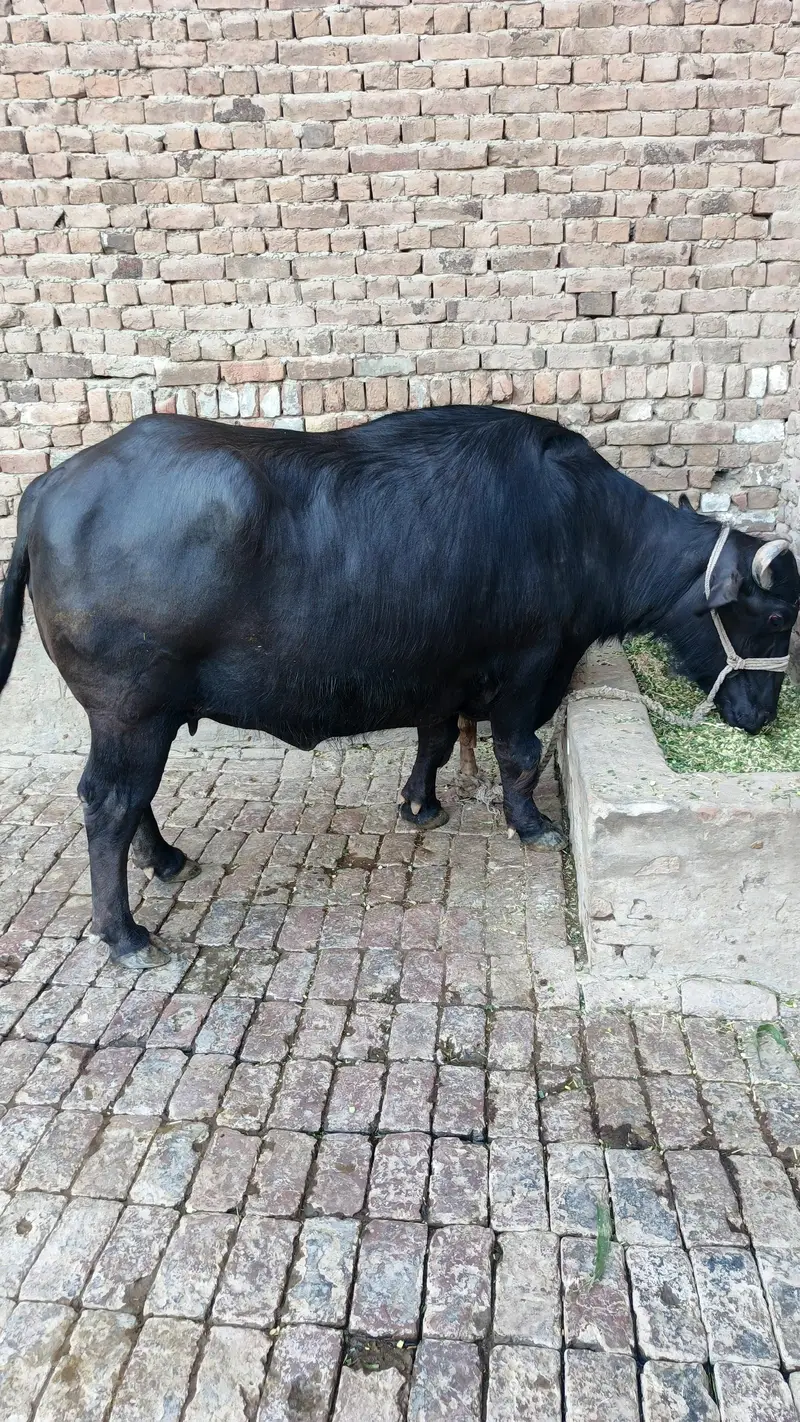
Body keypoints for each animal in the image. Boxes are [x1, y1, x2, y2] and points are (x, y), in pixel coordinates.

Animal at [1, 407, 798, 968]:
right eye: (778, 615)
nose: (762, 715)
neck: (581, 529)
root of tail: (45, 491)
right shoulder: (528, 670)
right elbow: (520, 755)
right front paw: (532, 824)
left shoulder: (441, 676)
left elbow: (437, 742)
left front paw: (422, 804)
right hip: (130, 710)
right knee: (108, 802)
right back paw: (126, 935)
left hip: (141, 715)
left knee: (132, 798)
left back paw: (164, 860)